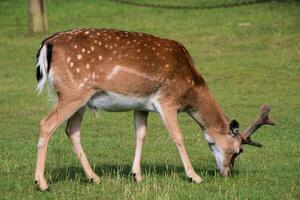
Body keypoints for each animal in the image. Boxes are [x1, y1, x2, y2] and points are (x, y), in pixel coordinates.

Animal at [34, 28, 276, 191]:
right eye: (238, 151)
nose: (228, 172)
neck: (191, 87)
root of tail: (47, 43)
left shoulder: (141, 106)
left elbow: (140, 134)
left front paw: (136, 175)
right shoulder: (167, 101)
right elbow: (178, 136)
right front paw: (194, 176)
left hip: (82, 99)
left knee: (71, 130)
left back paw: (94, 177)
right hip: (73, 93)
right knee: (46, 123)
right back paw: (42, 182)